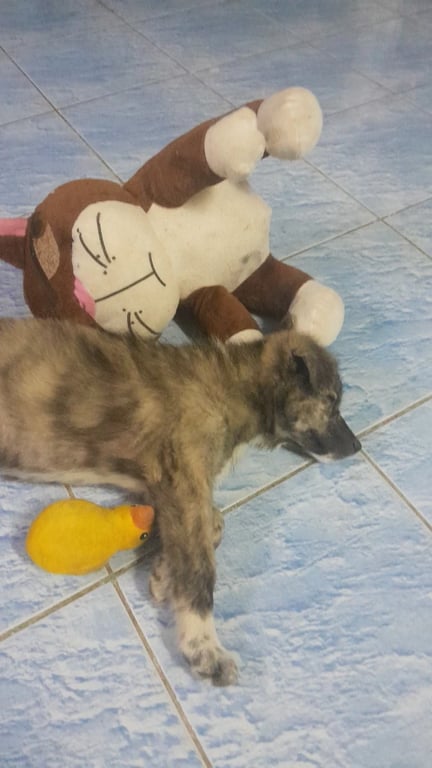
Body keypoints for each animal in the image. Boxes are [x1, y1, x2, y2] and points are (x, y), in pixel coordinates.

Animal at [0, 318, 360, 684]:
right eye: (331, 402)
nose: (358, 447)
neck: (236, 387)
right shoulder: (184, 480)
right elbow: (200, 566)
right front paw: (203, 646)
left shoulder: (167, 486)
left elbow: (213, 523)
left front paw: (163, 573)